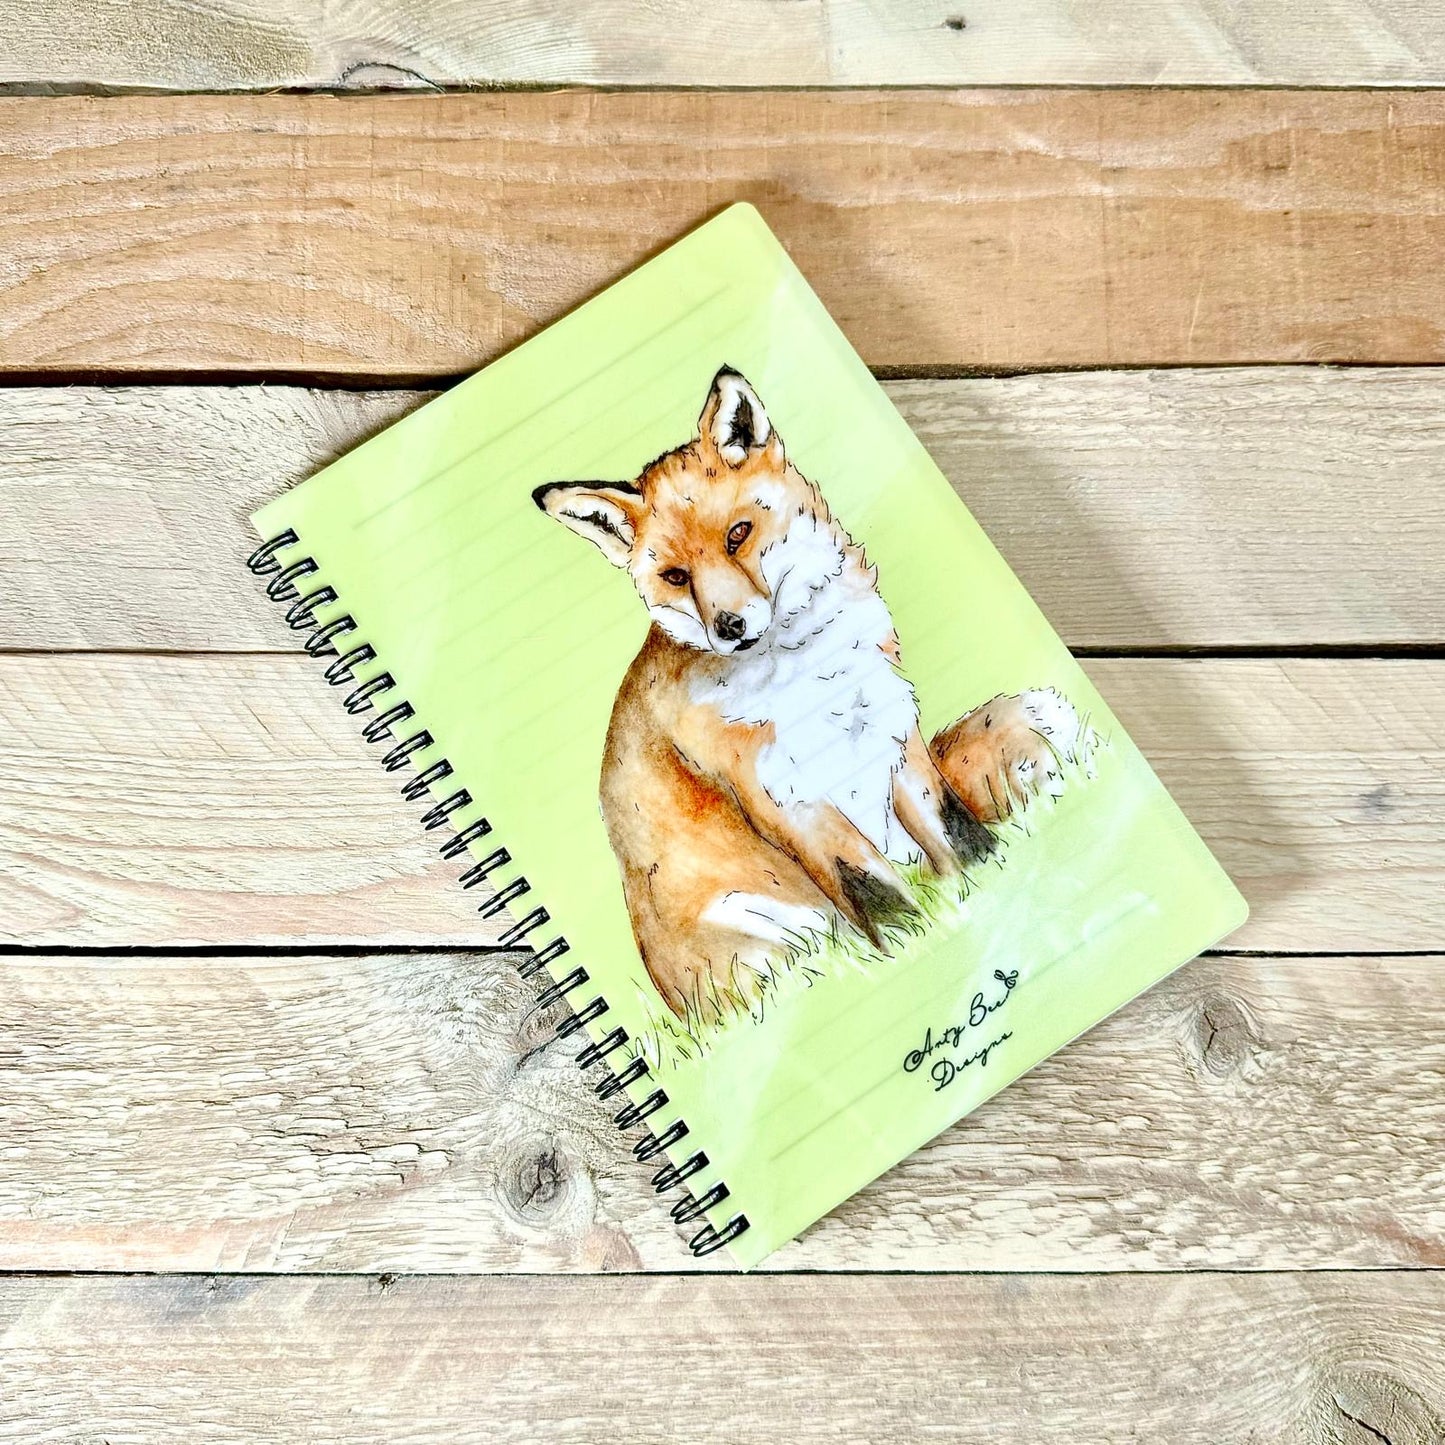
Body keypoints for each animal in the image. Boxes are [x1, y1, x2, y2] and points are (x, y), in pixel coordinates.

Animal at [535, 367, 1085, 1024]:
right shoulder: (782, 796)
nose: (730, 627)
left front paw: (984, 886)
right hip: (766, 930)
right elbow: (876, 897)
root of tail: (676, 1005)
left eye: (737, 535)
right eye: (675, 577)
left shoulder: (893, 739)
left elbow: (954, 836)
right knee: (808, 963)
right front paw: (921, 947)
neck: (812, 676)